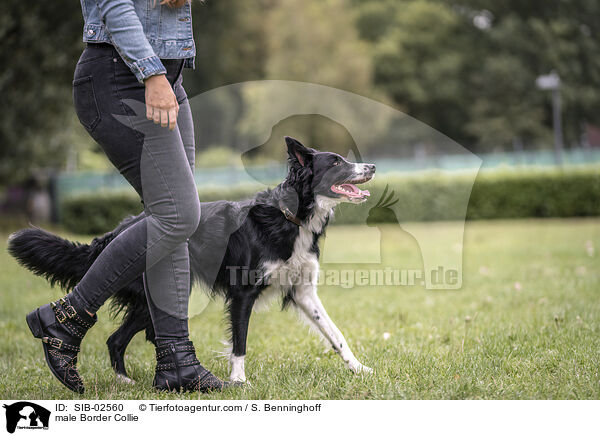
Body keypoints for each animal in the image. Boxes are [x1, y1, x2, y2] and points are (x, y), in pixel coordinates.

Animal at [8, 136, 376, 382]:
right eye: (336, 163)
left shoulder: (303, 291)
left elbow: (335, 334)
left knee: (121, 339)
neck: (291, 217)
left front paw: (359, 367)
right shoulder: (243, 293)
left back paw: (131, 381)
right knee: (117, 338)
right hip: (153, 296)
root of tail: (119, 232)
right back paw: (124, 381)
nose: (371, 166)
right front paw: (238, 381)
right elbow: (240, 341)